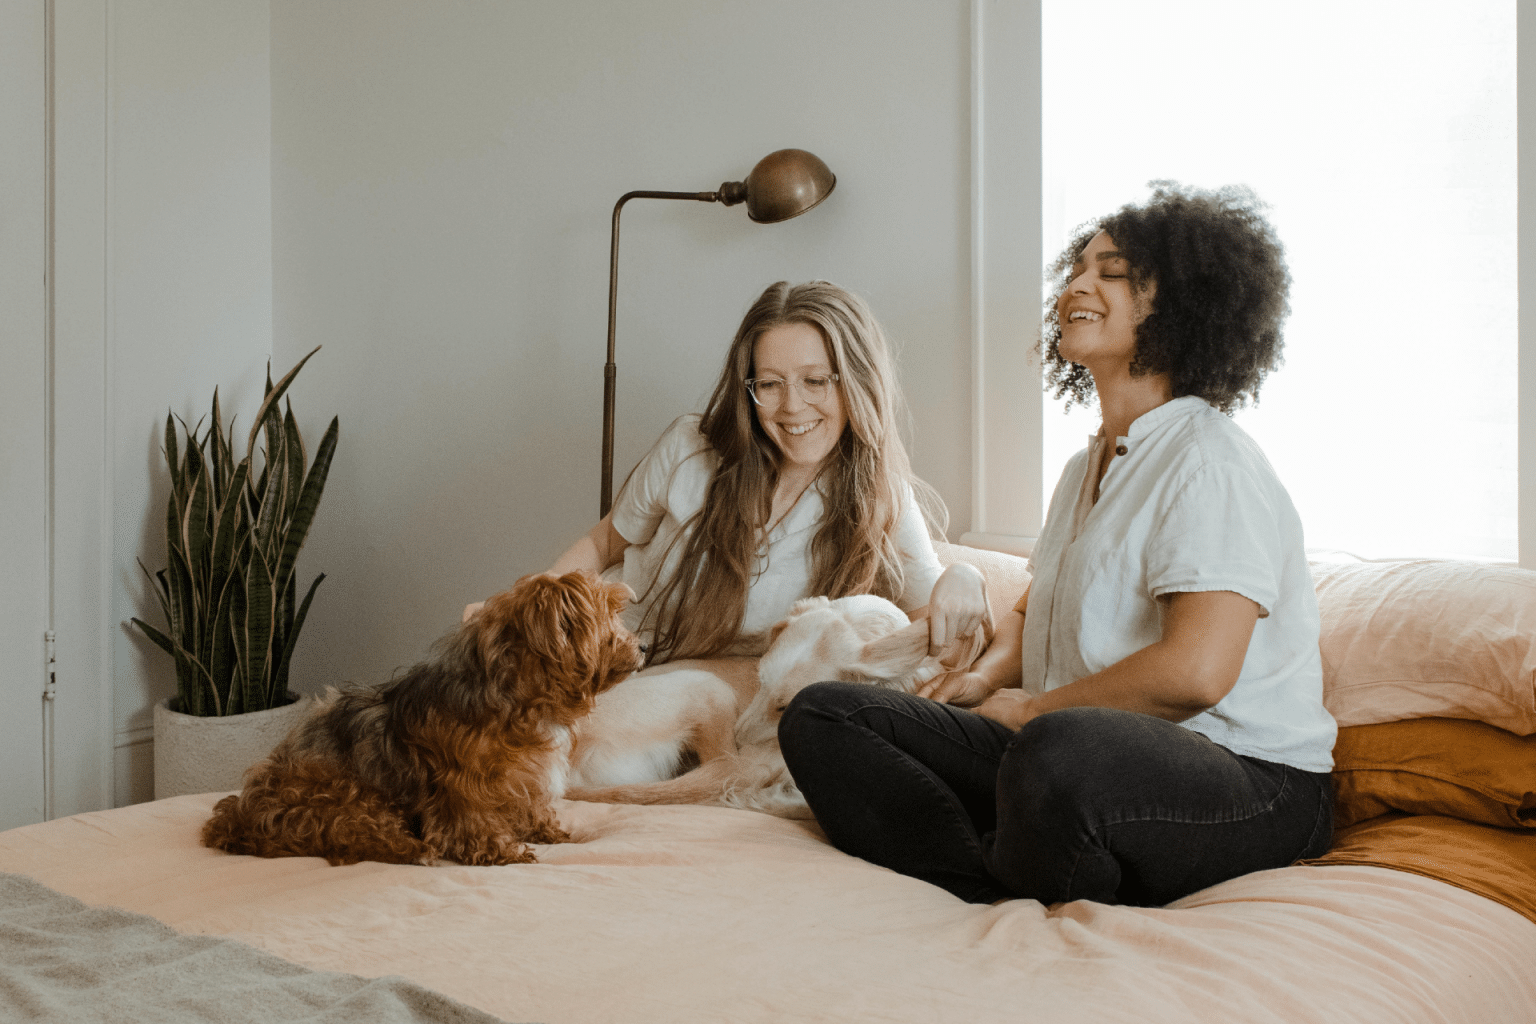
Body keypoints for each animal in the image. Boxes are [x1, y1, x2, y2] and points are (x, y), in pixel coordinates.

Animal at [201, 574, 638, 872]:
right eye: (608, 618)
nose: (644, 646)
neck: (520, 699)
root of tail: (238, 817)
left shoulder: (523, 777)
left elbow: (530, 805)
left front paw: (546, 830)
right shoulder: (461, 784)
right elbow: (472, 818)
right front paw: (500, 850)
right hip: (342, 795)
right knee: (353, 837)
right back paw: (412, 849)